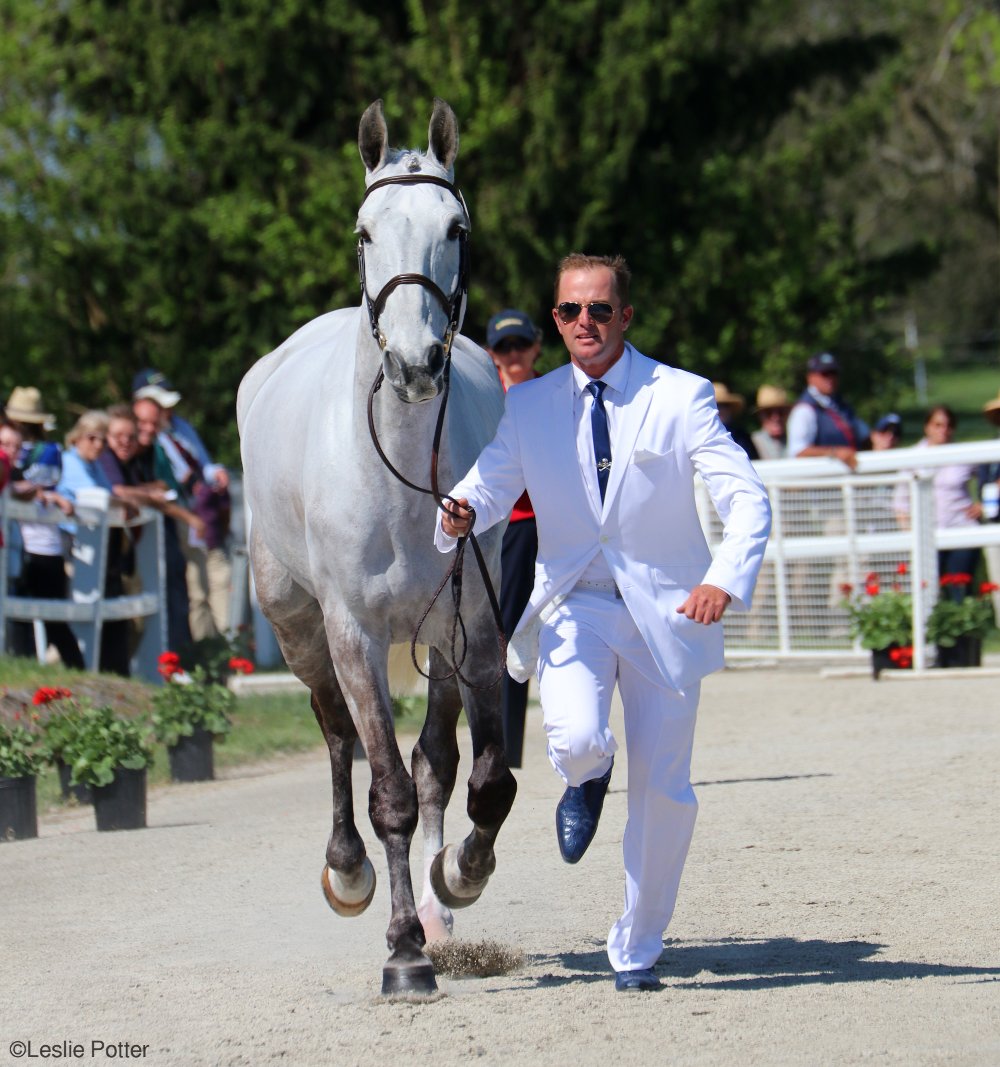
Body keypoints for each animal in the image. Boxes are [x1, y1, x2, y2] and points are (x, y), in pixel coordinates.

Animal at [234, 100, 514, 998]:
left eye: (456, 228)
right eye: (365, 231)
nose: (415, 362)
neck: (396, 472)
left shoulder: (475, 629)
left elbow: (483, 780)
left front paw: (458, 876)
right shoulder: (353, 635)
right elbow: (385, 788)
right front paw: (403, 952)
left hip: (434, 642)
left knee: (436, 763)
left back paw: (438, 898)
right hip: (297, 627)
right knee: (336, 735)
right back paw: (351, 872)